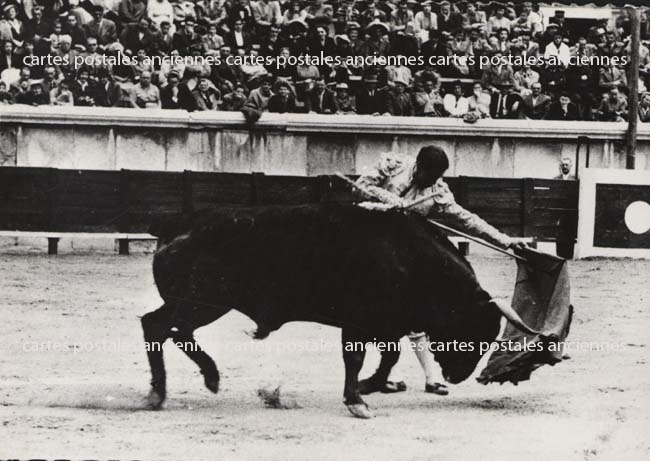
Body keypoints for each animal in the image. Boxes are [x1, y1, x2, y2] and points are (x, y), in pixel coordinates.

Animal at [142, 204, 528, 416]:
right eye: (473, 331)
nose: (459, 376)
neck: (408, 257)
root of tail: (177, 224)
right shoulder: (357, 323)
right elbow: (356, 358)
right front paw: (357, 399)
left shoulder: (386, 324)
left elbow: (388, 357)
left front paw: (368, 387)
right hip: (204, 302)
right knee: (170, 329)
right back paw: (198, 381)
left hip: (189, 302)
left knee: (157, 326)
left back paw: (167, 390)